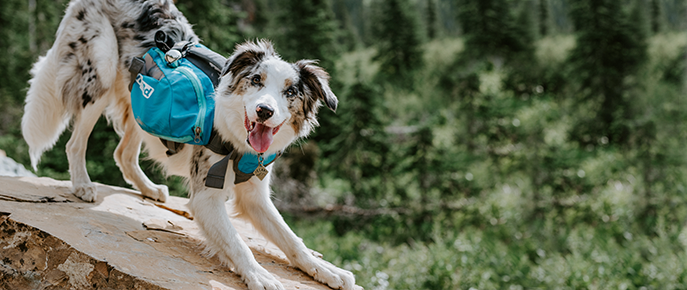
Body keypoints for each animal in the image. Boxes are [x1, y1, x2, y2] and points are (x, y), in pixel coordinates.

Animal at [22, 0, 360, 290]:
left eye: (290, 92)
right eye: (256, 80)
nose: (264, 111)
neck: (238, 141)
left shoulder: (255, 197)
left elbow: (292, 240)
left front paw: (327, 270)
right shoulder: (206, 198)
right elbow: (238, 244)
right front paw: (260, 275)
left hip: (139, 100)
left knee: (123, 154)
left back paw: (149, 189)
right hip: (101, 70)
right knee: (75, 143)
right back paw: (82, 184)